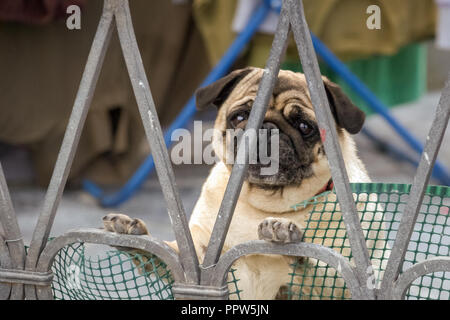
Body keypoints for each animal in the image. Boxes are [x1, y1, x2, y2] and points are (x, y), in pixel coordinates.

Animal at [101, 67, 386, 300]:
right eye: (239, 117)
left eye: (305, 126)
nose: (267, 128)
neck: (265, 204)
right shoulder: (197, 260)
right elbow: (160, 252)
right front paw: (130, 231)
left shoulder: (342, 282)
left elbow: (311, 267)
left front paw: (284, 234)